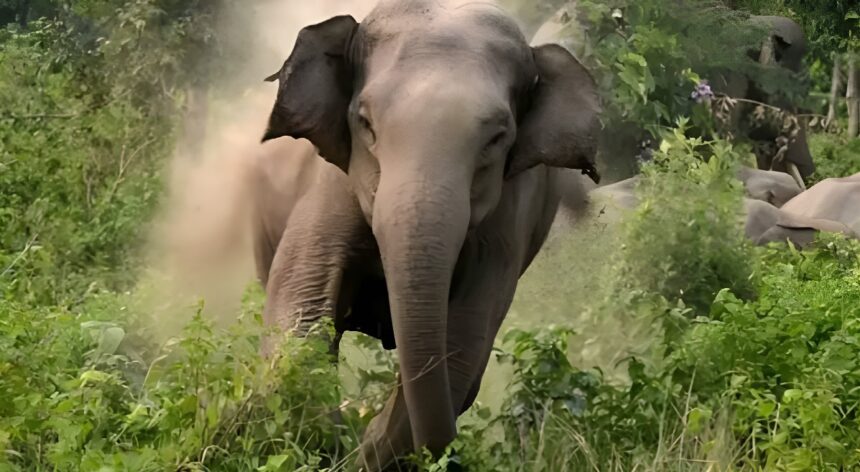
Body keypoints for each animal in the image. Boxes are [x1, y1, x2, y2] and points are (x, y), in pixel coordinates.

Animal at [254, 0, 600, 469]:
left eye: (497, 138)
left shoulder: (507, 223)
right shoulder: (330, 184)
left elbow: (463, 346)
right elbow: (301, 309)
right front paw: (329, 445)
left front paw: (363, 453)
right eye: (365, 123)